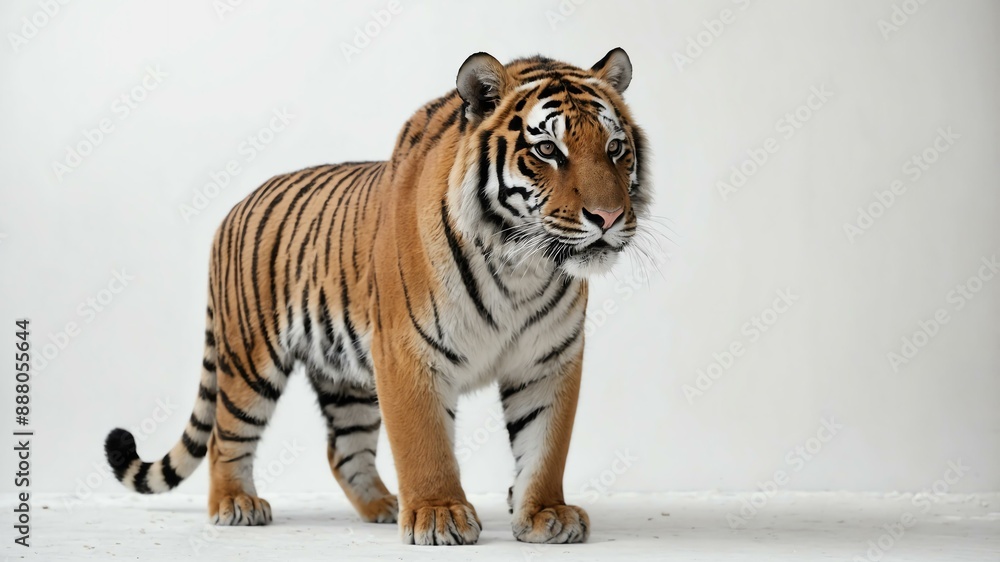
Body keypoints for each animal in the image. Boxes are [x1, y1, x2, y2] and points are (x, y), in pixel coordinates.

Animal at [104, 47, 649, 545]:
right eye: (548, 151)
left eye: (615, 147)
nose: (608, 217)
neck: (522, 266)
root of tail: (235, 207)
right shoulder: (407, 353)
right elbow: (424, 443)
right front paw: (439, 515)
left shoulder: (549, 360)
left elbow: (545, 445)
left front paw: (544, 514)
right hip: (249, 361)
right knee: (225, 437)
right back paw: (237, 504)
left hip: (345, 379)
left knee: (343, 451)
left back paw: (382, 506)